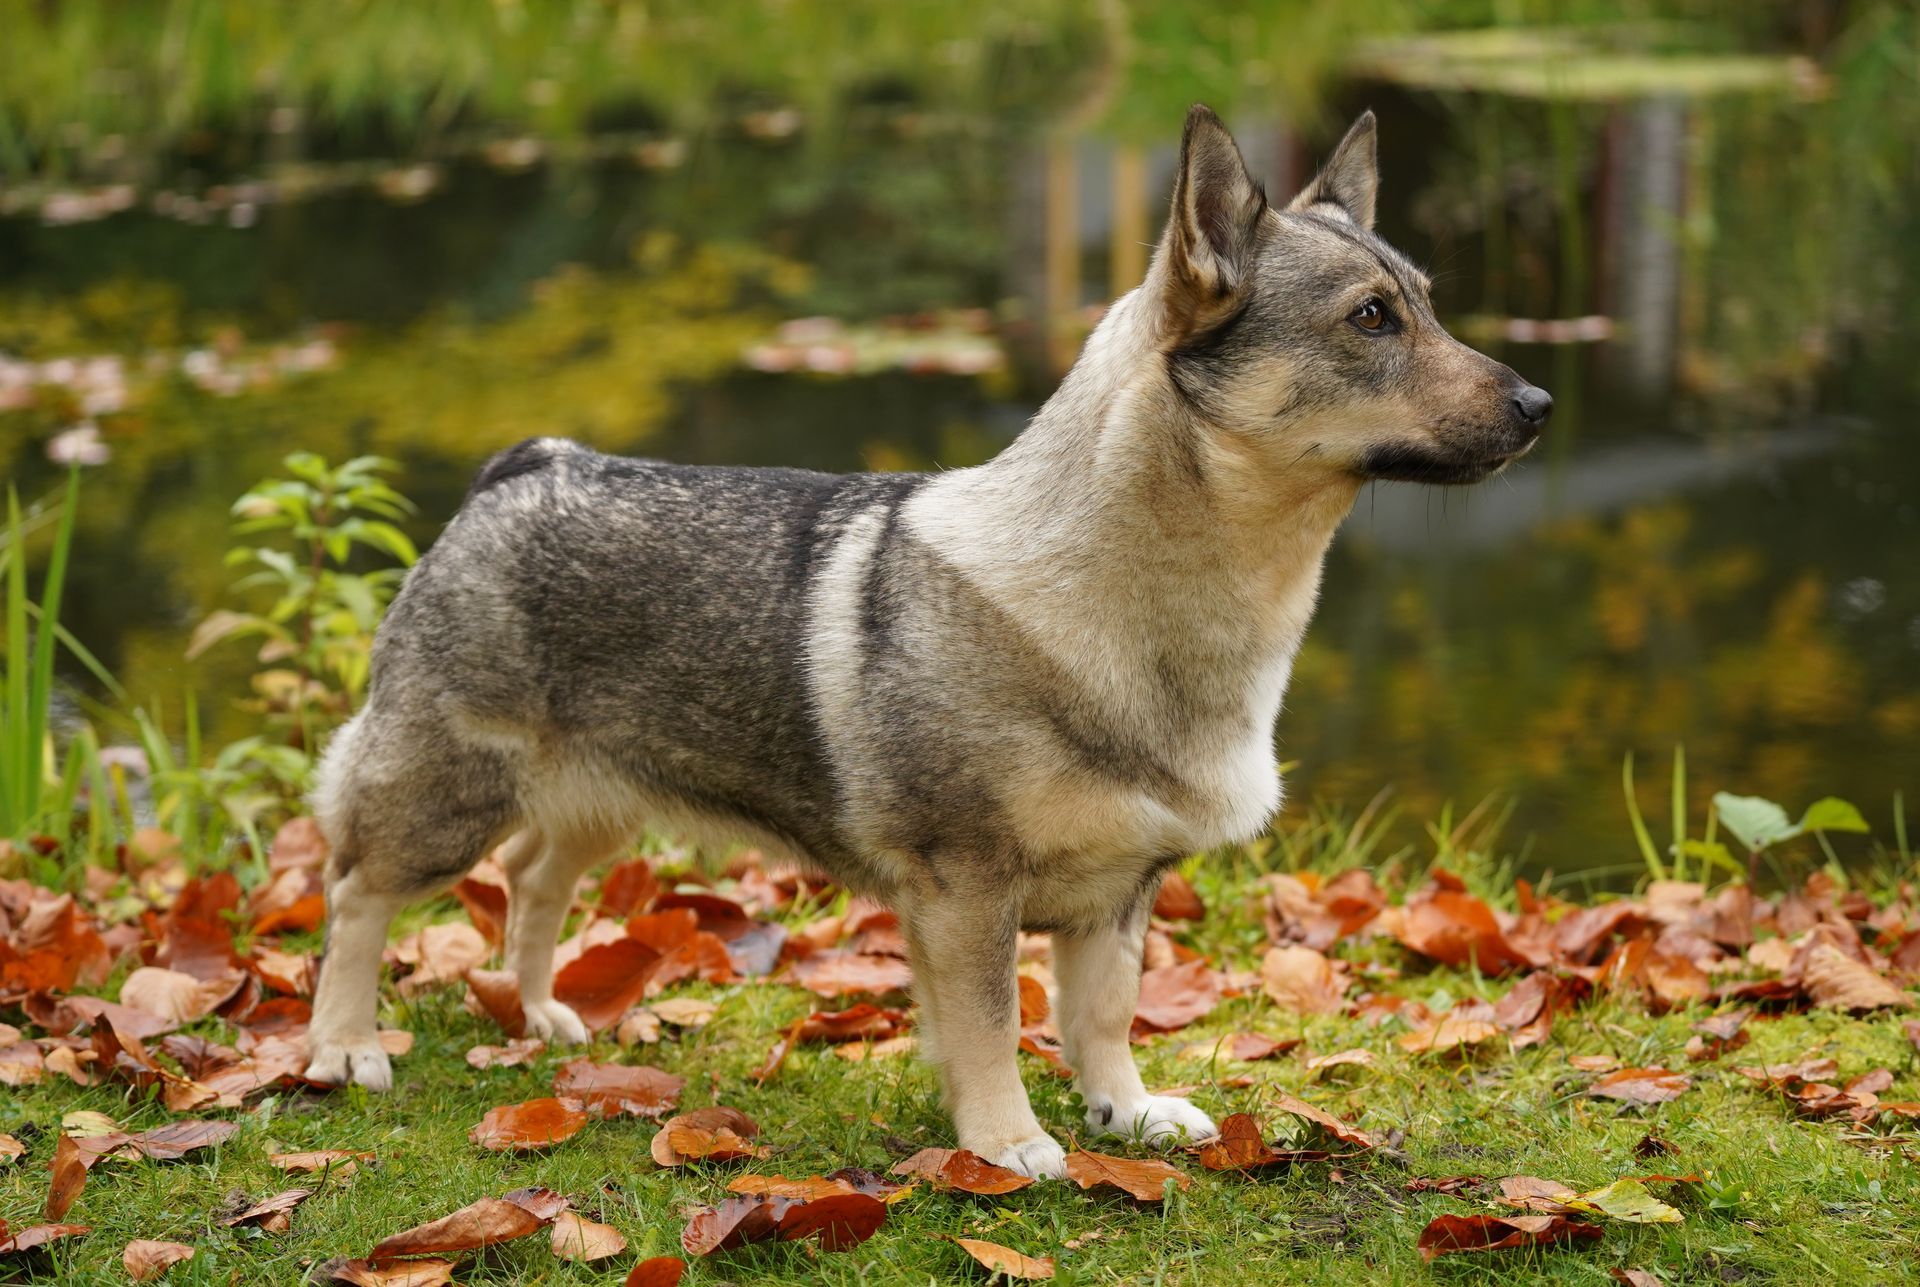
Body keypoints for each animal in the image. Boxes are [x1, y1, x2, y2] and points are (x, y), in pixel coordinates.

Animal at [307, 108, 1551, 1183]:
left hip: (600, 799)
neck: (1133, 601)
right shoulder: (967, 891)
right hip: (445, 800)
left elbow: (1101, 1014)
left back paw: (541, 1016)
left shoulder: (1117, 897)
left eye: (1427, 306)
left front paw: (1126, 1110)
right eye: (1372, 319)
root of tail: (523, 465)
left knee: (532, 880)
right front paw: (1007, 1145)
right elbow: (994, 1027)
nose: (1541, 404)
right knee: (355, 895)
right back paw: (342, 1045)